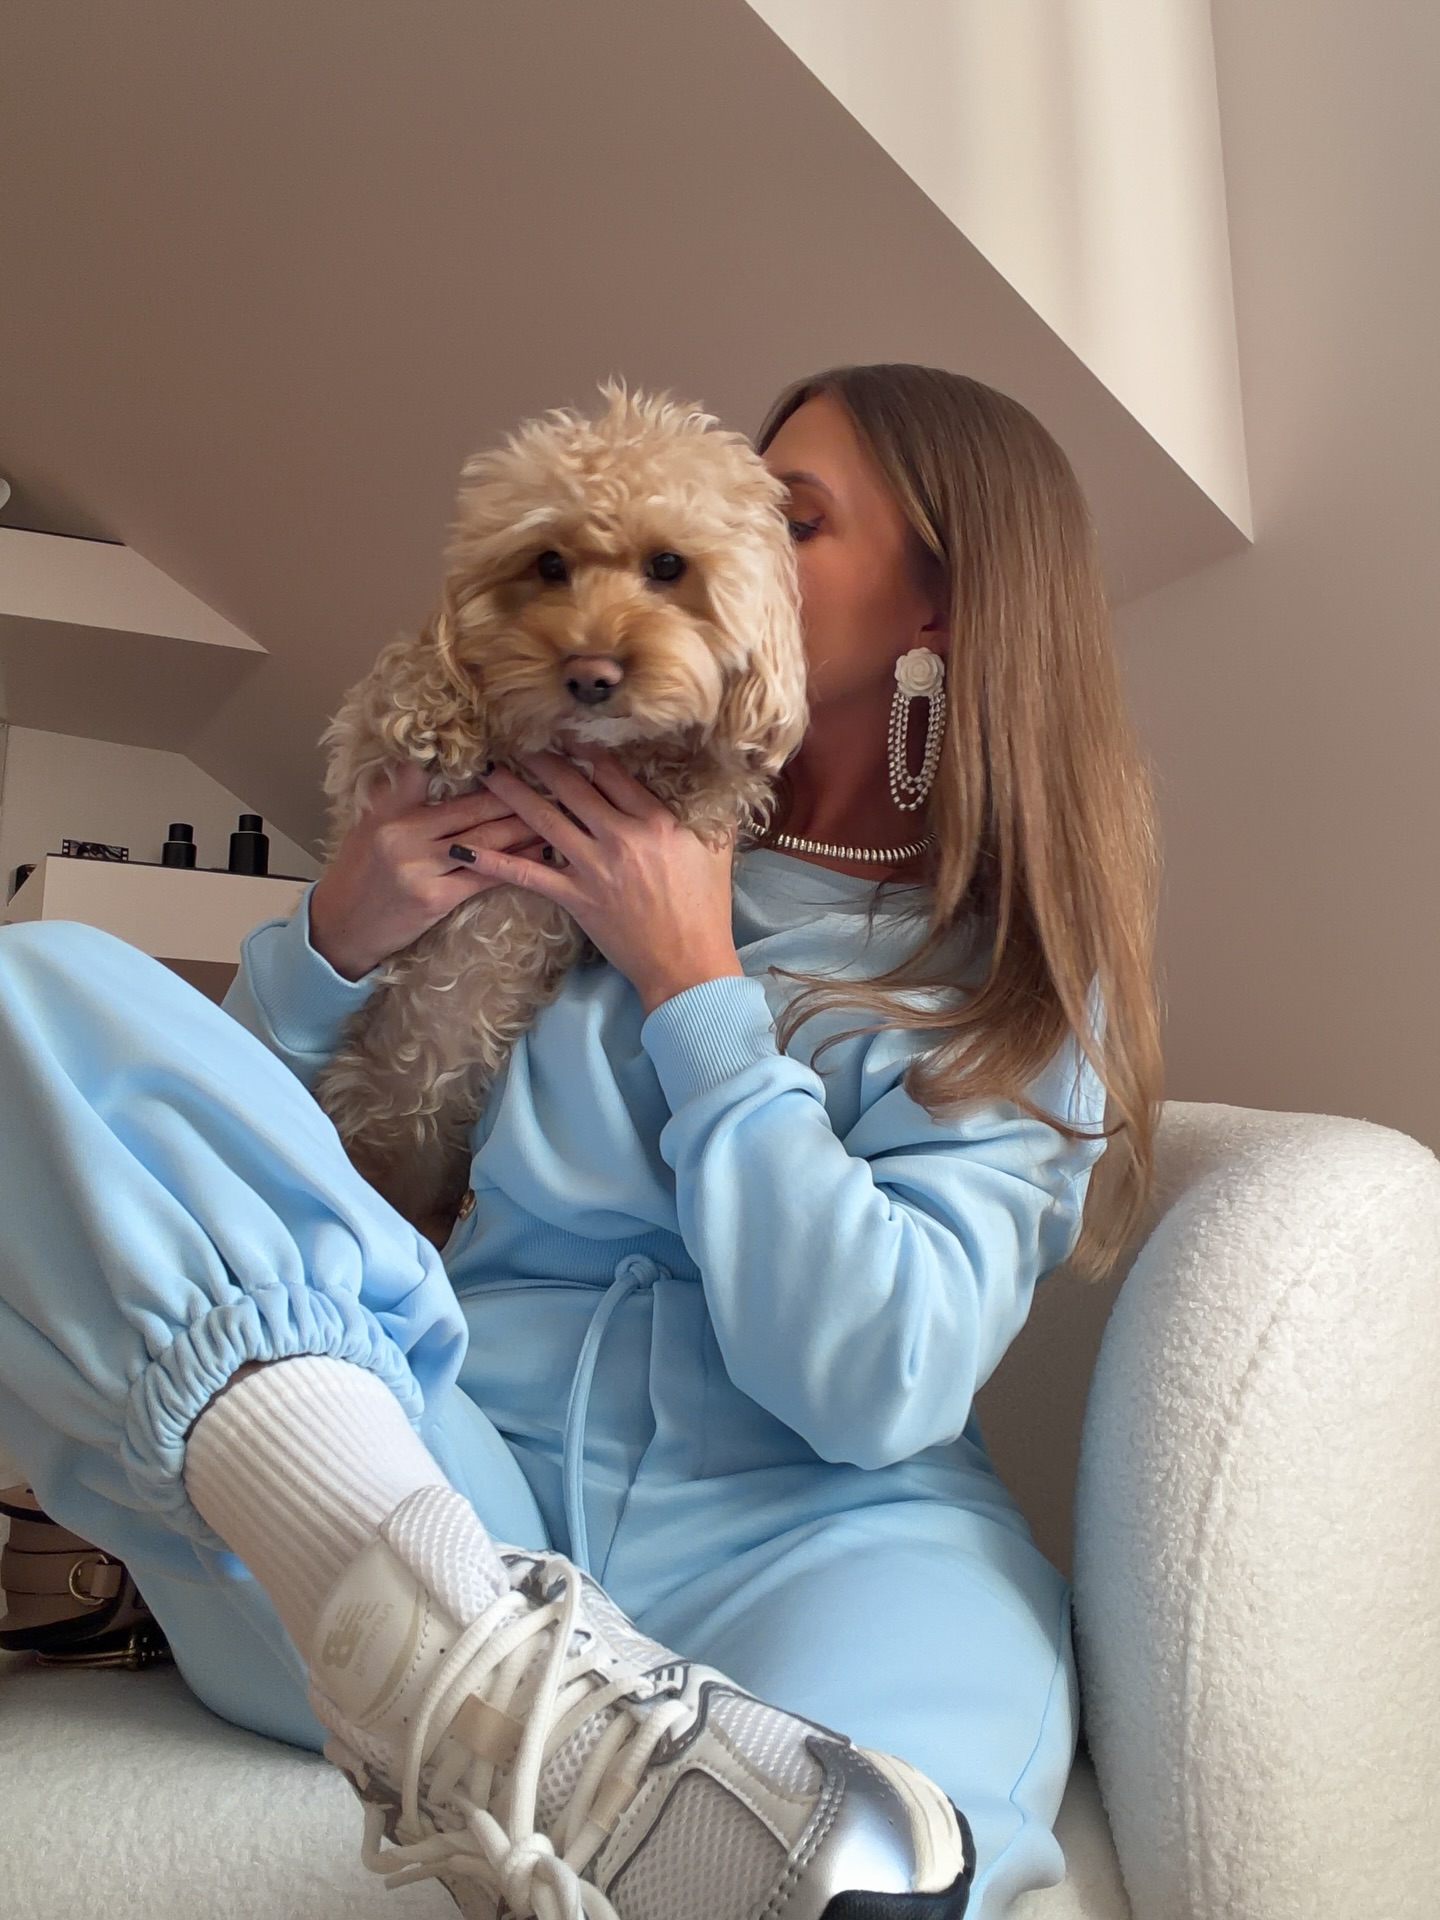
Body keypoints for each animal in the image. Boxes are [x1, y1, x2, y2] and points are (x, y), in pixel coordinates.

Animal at [313, 379, 809, 1242]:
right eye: (548, 564)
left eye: (668, 565)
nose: (591, 673)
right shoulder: (369, 761)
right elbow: (405, 679)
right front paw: (441, 712)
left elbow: (712, 772)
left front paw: (708, 776)